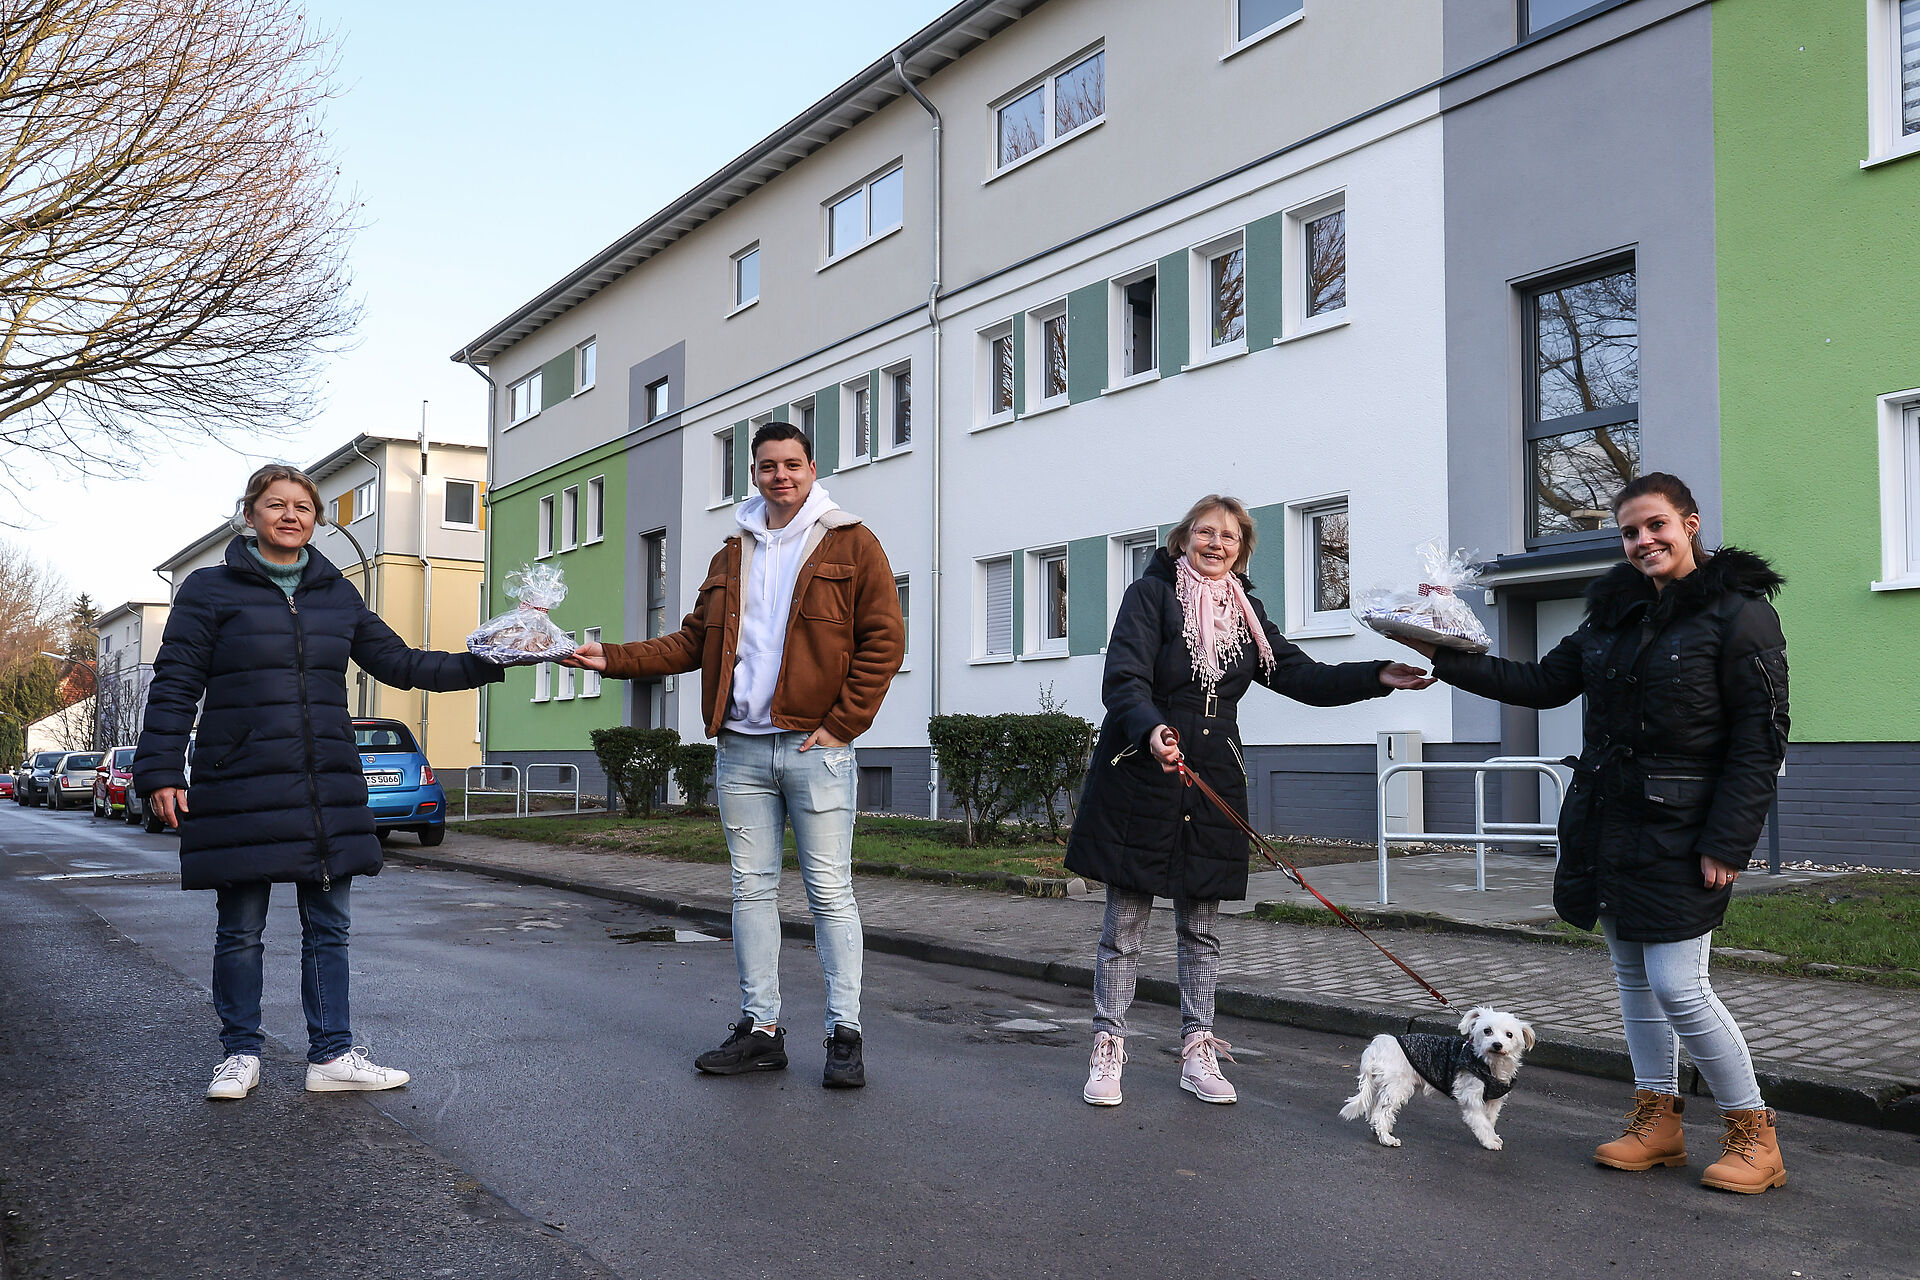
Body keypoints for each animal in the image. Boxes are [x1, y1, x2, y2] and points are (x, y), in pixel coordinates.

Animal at [1344, 1013, 1536, 1151]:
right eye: (1487, 1031)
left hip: (1384, 1085)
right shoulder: (1471, 1097)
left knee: (1375, 1109)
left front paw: (1493, 1136)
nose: (1497, 1045)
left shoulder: (1493, 1101)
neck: (1488, 1063)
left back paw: (1379, 1129)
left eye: (1509, 1035)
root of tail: (1376, 1047)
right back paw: (1387, 1139)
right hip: (1397, 1086)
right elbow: (1481, 1122)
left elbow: (1489, 1121)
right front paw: (1490, 1142)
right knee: (1381, 1112)